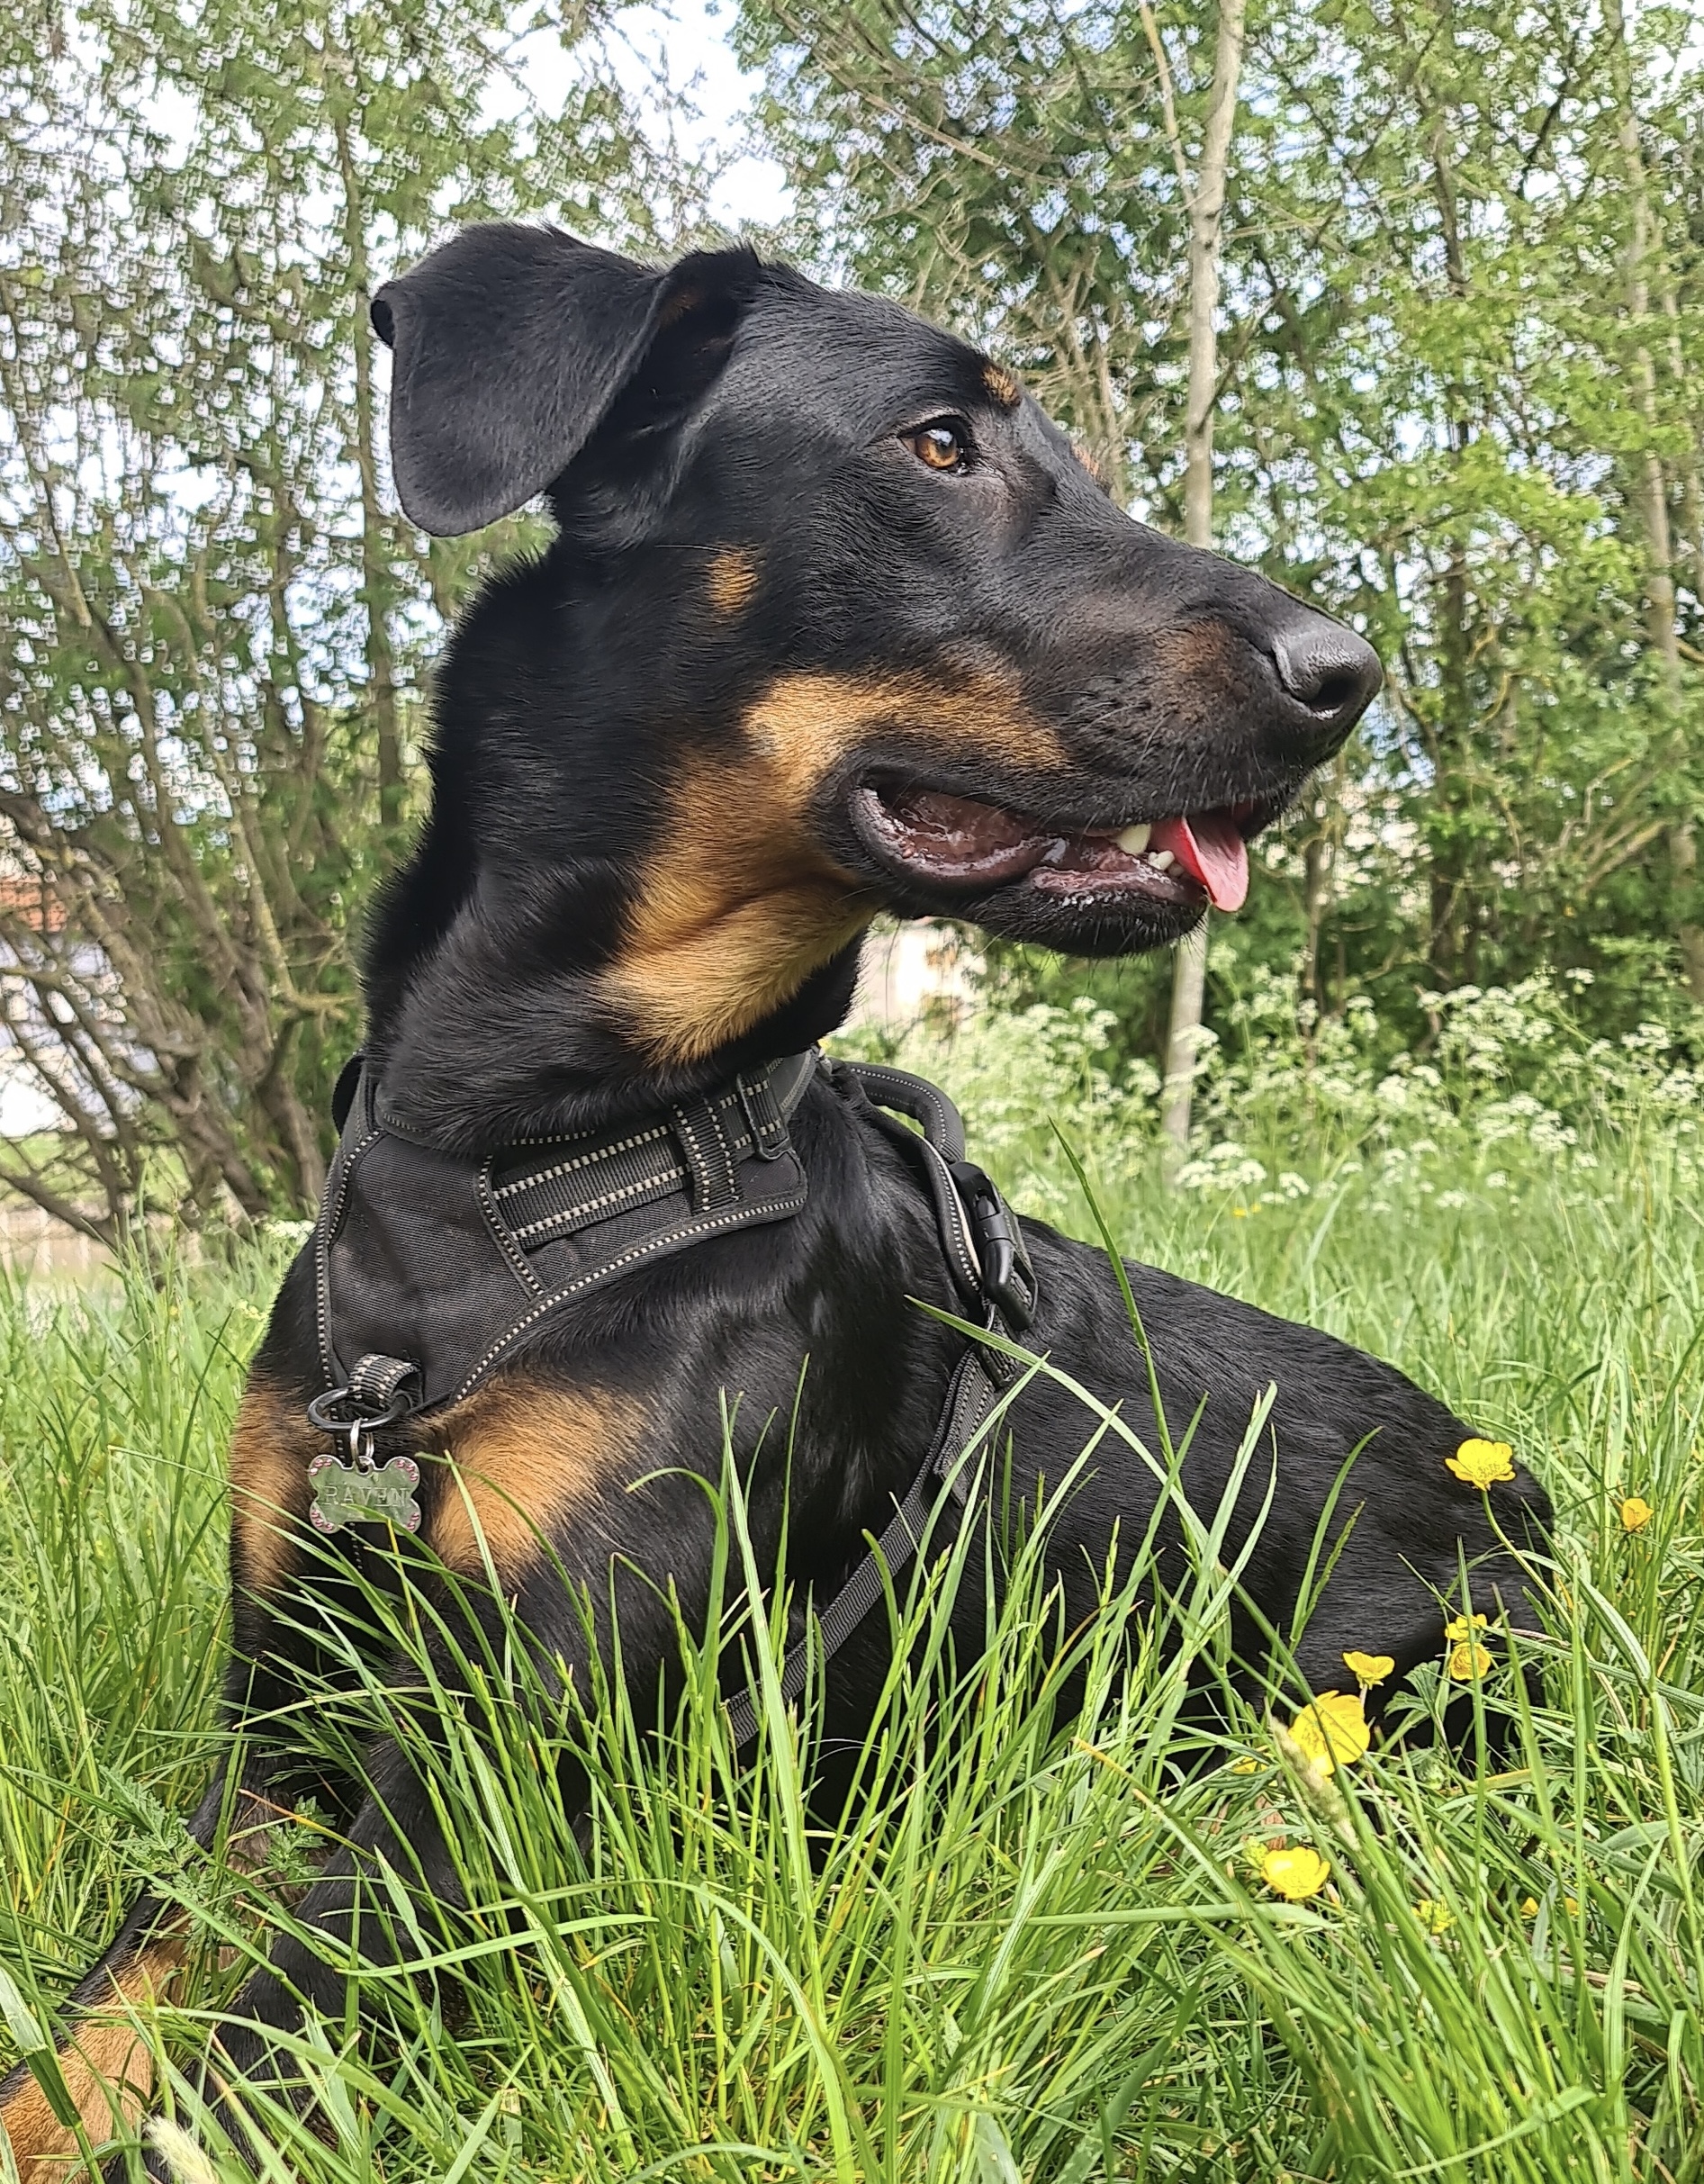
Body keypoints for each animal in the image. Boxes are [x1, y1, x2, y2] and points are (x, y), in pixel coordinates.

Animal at [0, 221, 1549, 2179]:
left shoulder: (503, 1768)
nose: (1346, 675)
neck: (525, 1164)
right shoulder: (279, 1734)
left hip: (1325, 1738)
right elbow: (93, 2020)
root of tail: (1536, 1509)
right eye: (941, 446)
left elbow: (231, 2072)